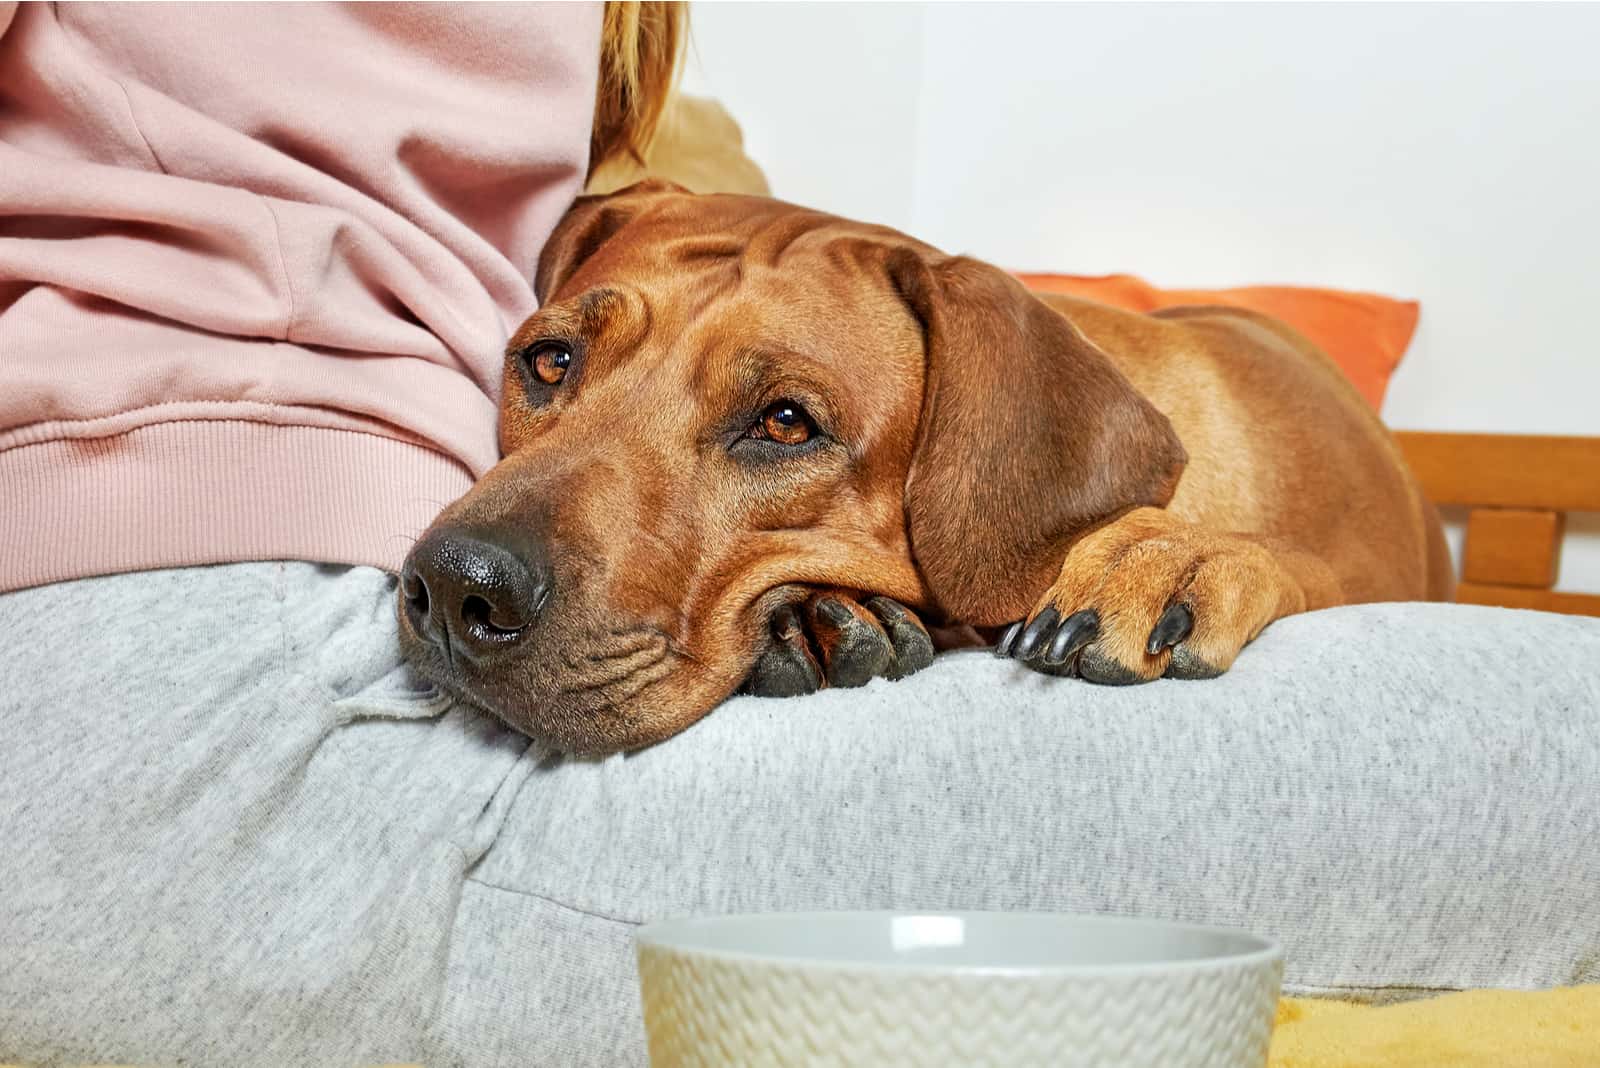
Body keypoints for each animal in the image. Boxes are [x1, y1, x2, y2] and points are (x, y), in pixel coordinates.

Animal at [396, 181, 1452, 751]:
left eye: (786, 423)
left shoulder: (1362, 563)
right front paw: (831, 616)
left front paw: (1170, 559)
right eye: (549, 361)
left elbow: (1299, 564)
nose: (455, 588)